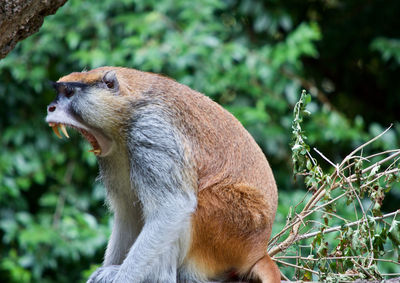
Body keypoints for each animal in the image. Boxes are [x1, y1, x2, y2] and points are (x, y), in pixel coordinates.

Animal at [45, 67, 280, 283]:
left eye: (69, 93)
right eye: (59, 92)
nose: (50, 108)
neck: (126, 110)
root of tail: (258, 250)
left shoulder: (151, 133)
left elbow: (172, 207)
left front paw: (122, 277)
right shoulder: (114, 154)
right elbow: (128, 212)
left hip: (232, 225)